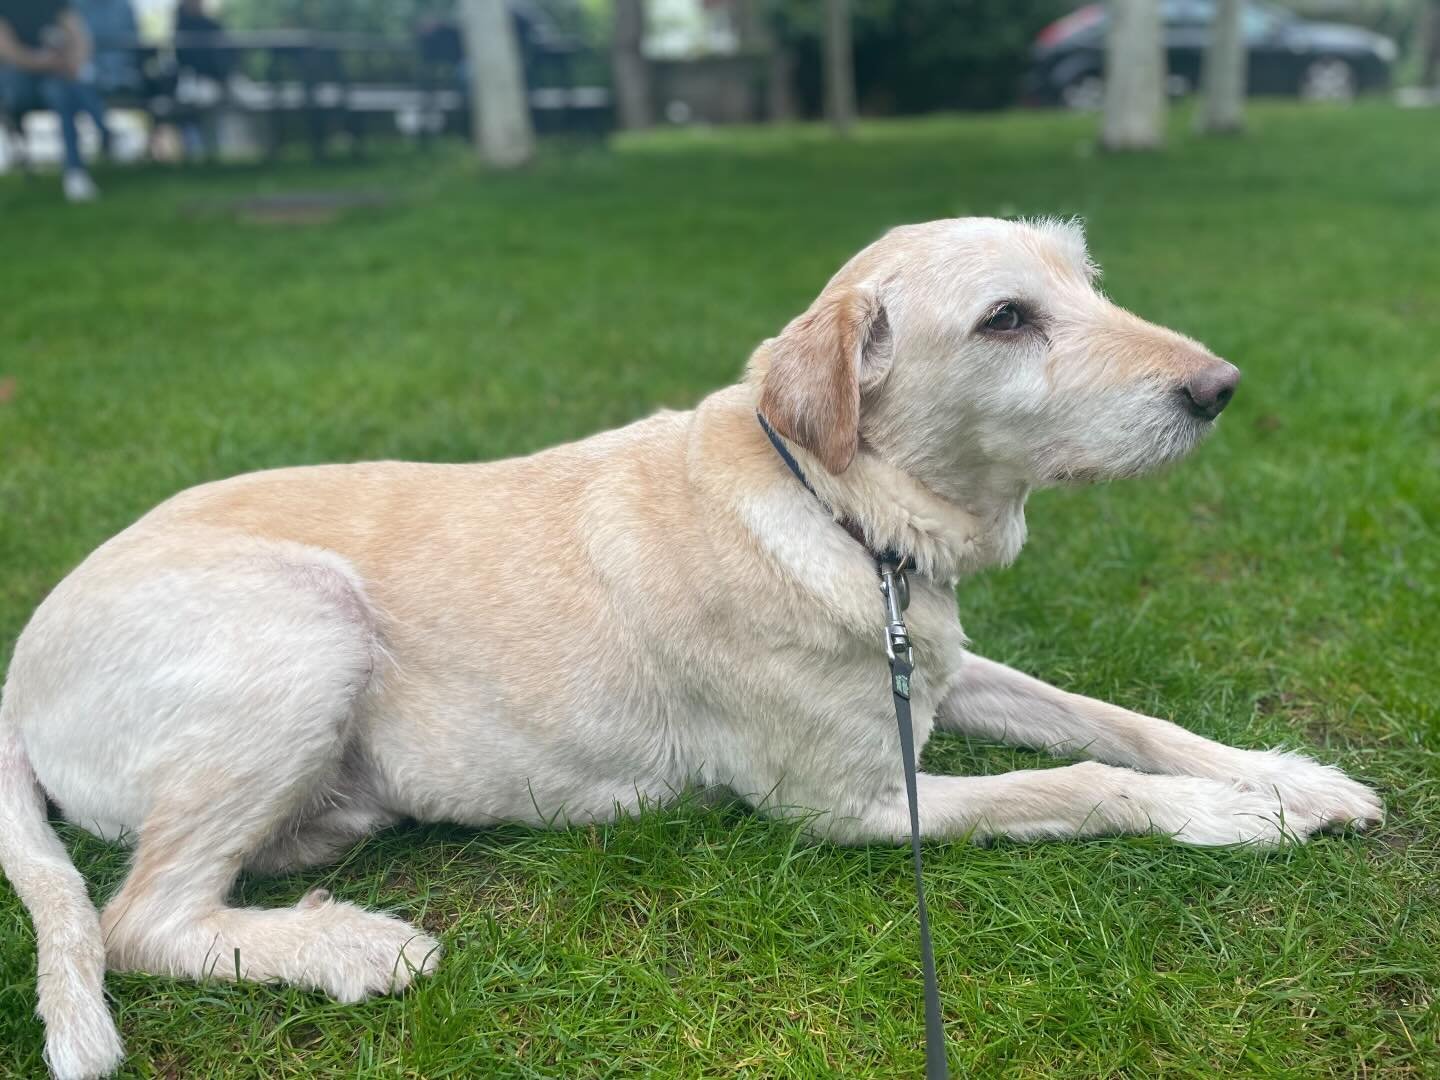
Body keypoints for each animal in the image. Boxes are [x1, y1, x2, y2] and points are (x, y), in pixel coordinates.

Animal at [0, 216, 1382, 1077]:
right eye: (1006, 318)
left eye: (1087, 285)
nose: (1220, 389)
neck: (842, 509)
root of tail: (17, 668)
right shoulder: (855, 802)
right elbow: (1082, 782)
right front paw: (1229, 818)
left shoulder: (938, 670)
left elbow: (1115, 723)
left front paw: (1283, 776)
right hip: (305, 622)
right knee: (138, 918)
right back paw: (348, 946)